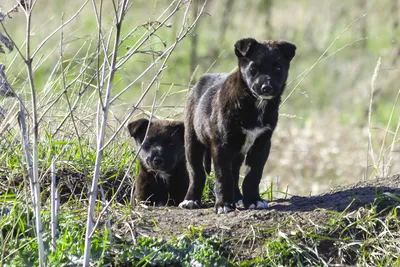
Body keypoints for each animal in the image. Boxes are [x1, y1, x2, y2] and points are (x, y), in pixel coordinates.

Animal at [180, 37, 296, 215]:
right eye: (253, 68)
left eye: (278, 68)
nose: (266, 88)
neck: (255, 104)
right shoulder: (221, 145)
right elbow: (223, 176)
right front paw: (223, 204)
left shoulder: (262, 144)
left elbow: (252, 174)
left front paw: (253, 200)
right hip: (193, 141)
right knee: (196, 172)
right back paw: (191, 200)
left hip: (237, 152)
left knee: (234, 172)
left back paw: (238, 197)